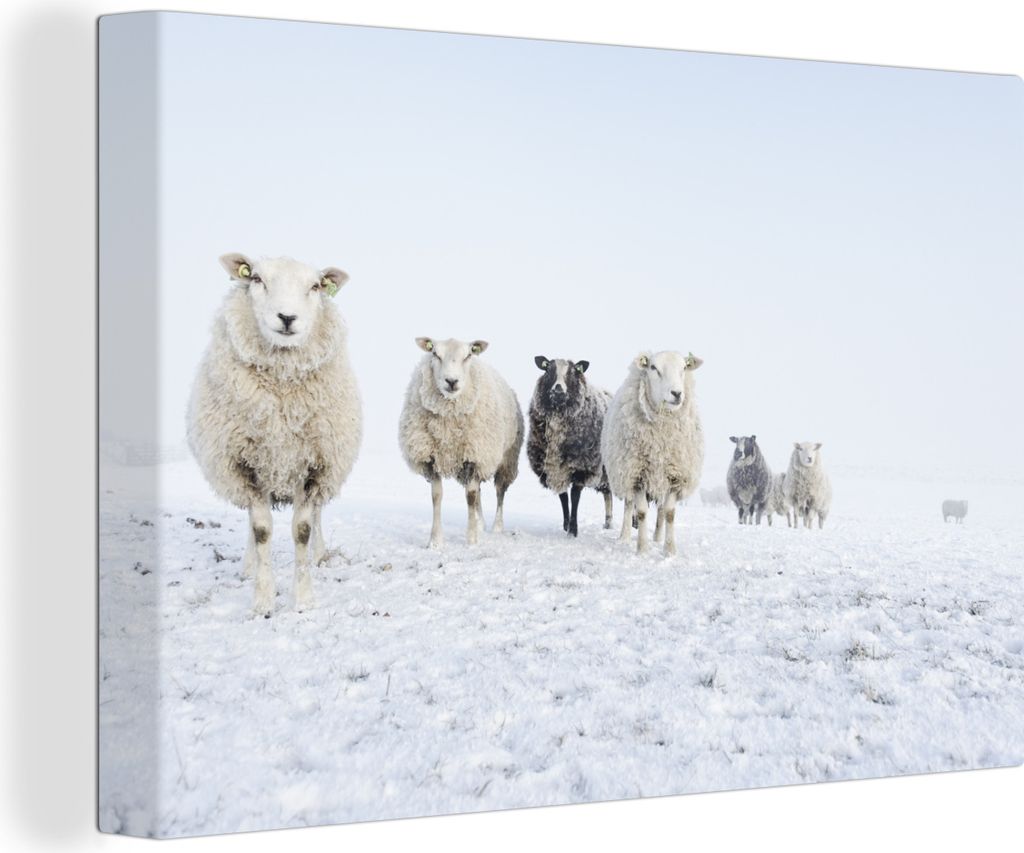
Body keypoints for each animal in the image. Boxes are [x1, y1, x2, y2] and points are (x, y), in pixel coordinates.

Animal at [187, 254, 362, 616]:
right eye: (256, 279)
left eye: (315, 286)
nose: (287, 317)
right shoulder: (244, 464)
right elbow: (261, 530)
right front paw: (263, 601)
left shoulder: (316, 464)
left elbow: (303, 530)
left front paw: (304, 599)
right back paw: (249, 565)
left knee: (317, 516)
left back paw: (319, 555)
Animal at [399, 337, 524, 548]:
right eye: (435, 354)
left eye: (468, 355)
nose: (451, 381)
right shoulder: (432, 458)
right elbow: (437, 496)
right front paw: (435, 541)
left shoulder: (475, 455)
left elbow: (470, 497)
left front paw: (472, 539)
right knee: (479, 490)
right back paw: (480, 523)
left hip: (506, 458)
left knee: (499, 491)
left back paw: (496, 527)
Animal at [527, 356, 613, 536]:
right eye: (548, 370)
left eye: (573, 372)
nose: (558, 389)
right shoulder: (554, 469)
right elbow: (563, 497)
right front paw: (566, 524)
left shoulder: (582, 466)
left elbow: (574, 496)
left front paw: (573, 530)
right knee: (608, 494)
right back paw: (608, 523)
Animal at [601, 351, 704, 555]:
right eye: (653, 368)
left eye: (684, 367)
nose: (677, 393)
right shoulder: (637, 474)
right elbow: (640, 513)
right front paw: (642, 549)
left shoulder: (675, 475)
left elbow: (670, 513)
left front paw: (669, 550)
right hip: (625, 471)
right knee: (628, 505)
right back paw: (625, 536)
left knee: (662, 510)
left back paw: (657, 538)